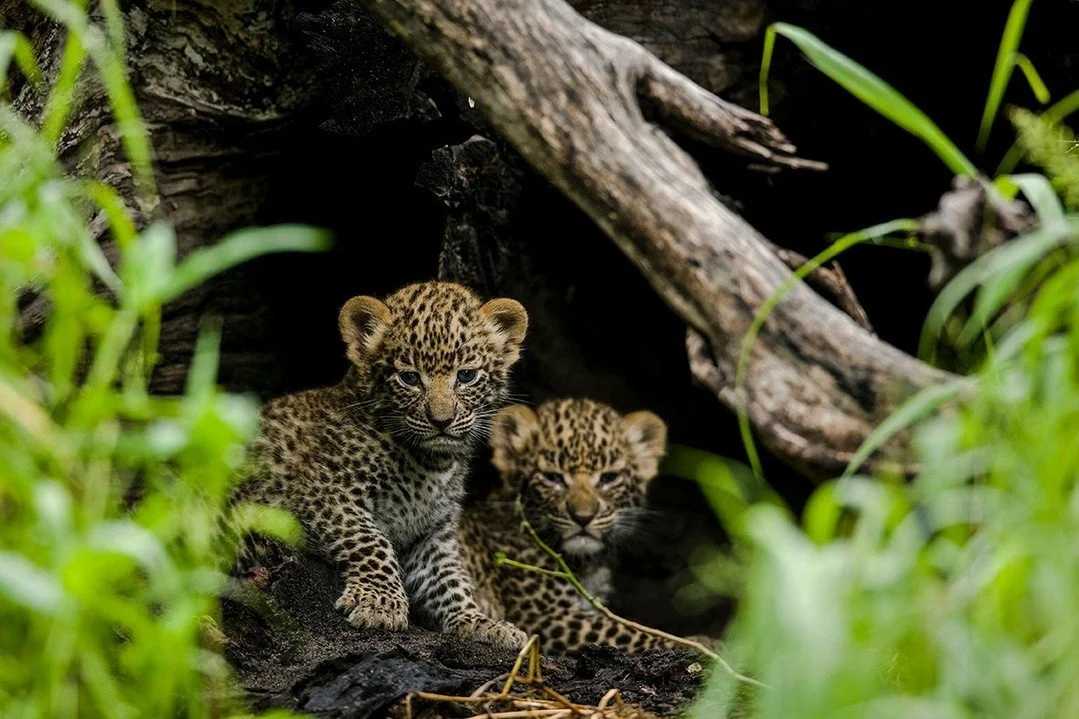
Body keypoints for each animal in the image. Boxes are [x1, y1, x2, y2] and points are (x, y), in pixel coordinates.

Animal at [230, 281, 529, 649]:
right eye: (410, 378)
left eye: (467, 376)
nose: (441, 421)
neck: (431, 463)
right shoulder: (324, 493)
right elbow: (370, 541)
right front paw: (380, 604)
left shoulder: (431, 532)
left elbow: (450, 578)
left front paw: (479, 621)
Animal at [459, 397, 683, 653]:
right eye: (553, 478)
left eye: (609, 478)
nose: (583, 517)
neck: (586, 566)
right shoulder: (544, 616)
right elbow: (628, 631)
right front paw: (697, 643)